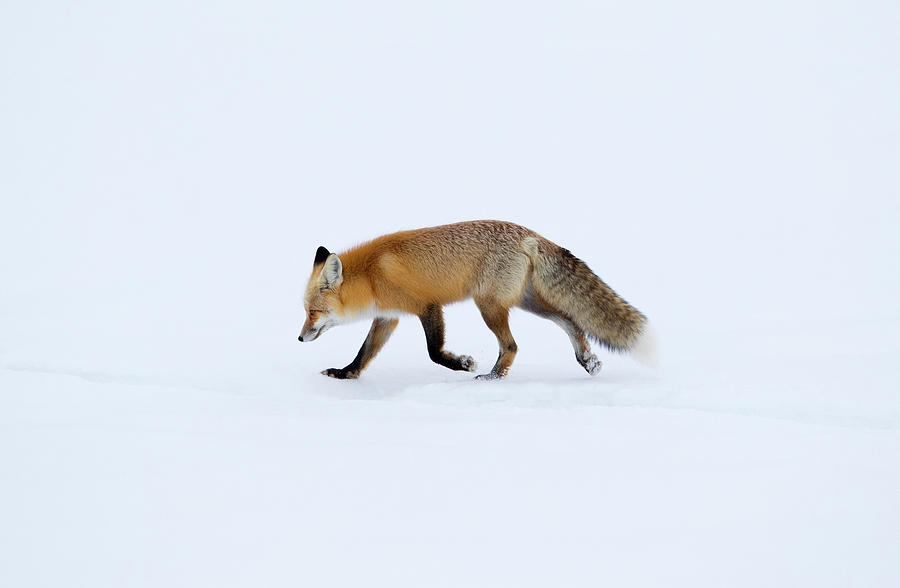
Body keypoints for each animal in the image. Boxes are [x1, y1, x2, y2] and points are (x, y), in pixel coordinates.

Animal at [298, 220, 655, 380]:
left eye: (314, 312)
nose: (300, 338)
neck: (372, 275)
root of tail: (528, 233)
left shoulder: (427, 306)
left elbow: (433, 352)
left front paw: (462, 364)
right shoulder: (389, 317)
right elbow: (364, 353)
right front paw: (345, 374)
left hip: (489, 305)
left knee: (511, 345)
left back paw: (493, 378)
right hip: (524, 302)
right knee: (571, 321)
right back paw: (587, 360)